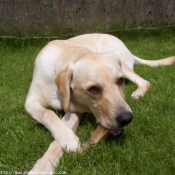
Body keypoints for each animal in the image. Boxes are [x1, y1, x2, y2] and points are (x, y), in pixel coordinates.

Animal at [25, 33, 174, 174]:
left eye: (120, 81)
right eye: (93, 89)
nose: (126, 118)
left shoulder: (75, 111)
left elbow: (57, 137)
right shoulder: (30, 102)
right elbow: (47, 113)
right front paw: (66, 142)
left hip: (122, 64)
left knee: (144, 82)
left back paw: (138, 93)